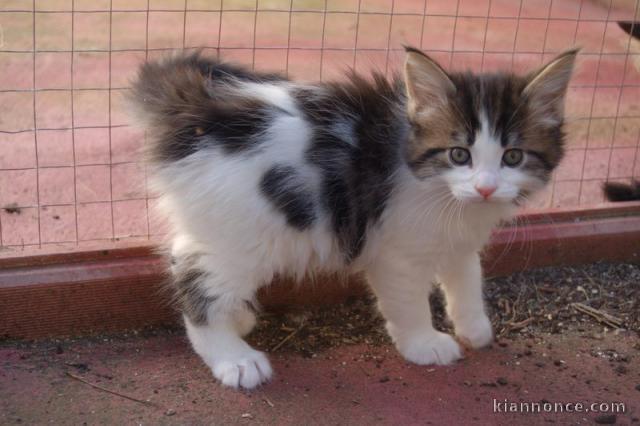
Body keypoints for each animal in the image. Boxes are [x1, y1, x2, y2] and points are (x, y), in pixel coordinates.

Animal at [130, 46, 576, 390]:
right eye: (458, 154)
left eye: (513, 157)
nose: (485, 188)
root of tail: (200, 115)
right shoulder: (397, 251)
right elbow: (409, 303)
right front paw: (425, 344)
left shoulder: (458, 241)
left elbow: (467, 278)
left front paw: (474, 327)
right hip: (246, 234)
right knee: (193, 278)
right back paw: (233, 359)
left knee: (185, 254)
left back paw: (237, 318)